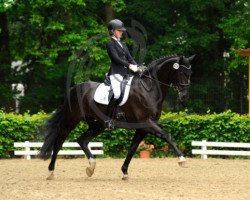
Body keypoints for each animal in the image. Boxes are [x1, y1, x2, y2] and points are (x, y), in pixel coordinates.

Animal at [39, 54, 195, 180]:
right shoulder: (146, 123)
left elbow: (132, 148)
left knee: (82, 140)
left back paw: (91, 167)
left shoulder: (142, 128)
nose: (184, 96)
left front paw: (124, 172)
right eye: (181, 72)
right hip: (71, 120)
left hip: (97, 124)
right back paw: (51, 172)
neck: (148, 90)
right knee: (59, 142)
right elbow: (166, 135)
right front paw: (182, 159)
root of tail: (72, 89)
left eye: (190, 73)